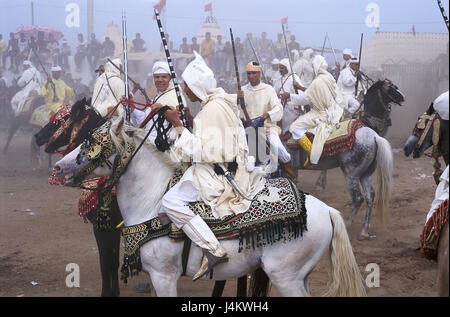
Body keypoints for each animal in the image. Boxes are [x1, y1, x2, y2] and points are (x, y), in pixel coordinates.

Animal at [54, 119, 368, 296]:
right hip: (301, 276)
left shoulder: (164, 277)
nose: (58, 166)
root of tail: (327, 210)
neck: (151, 200)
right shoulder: (156, 279)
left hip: (285, 277)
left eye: (91, 142)